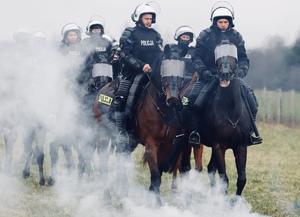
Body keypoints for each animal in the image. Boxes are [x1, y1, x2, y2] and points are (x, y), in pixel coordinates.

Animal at [94, 45, 188, 205]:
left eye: (182, 67)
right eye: (164, 68)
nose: (173, 100)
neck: (162, 107)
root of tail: (101, 91)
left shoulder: (167, 144)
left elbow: (159, 173)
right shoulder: (151, 144)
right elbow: (155, 175)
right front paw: (157, 204)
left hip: (129, 142)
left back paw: (124, 193)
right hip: (103, 134)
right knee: (103, 162)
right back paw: (107, 197)